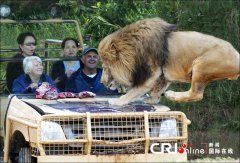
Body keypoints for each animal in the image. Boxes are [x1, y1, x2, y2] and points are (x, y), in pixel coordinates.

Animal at [98, 17, 239, 105]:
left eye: (105, 68)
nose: (102, 82)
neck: (133, 50)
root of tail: (237, 55)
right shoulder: (162, 75)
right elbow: (157, 90)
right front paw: (151, 101)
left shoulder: (152, 71)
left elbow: (135, 90)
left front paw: (118, 101)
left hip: (201, 65)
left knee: (196, 94)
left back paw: (172, 95)